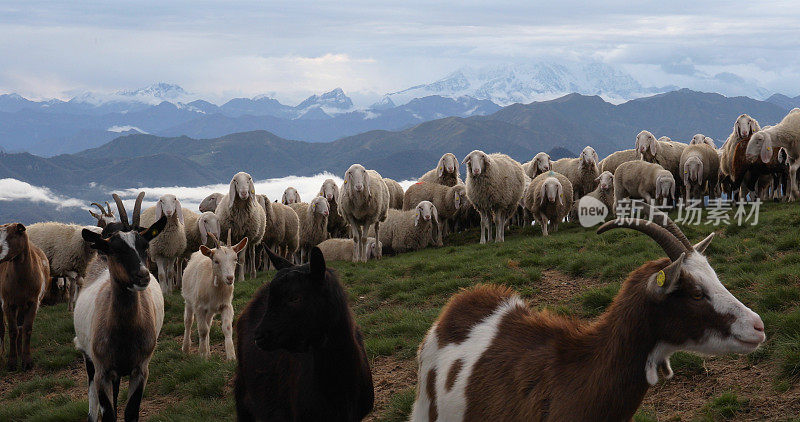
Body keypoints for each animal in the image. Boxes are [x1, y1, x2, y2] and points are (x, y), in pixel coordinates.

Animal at [0, 223, 49, 370]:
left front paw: (27, 361)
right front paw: (12, 362)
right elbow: (12, 330)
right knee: (3, 328)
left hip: (22, 305)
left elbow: (26, 329)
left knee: (20, 327)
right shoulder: (7, 303)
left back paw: (20, 351)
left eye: (12, 235)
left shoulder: (33, 302)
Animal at [73, 196, 167, 420]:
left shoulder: (141, 370)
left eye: (145, 246)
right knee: (93, 404)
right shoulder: (102, 372)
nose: (143, 275)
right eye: (115, 249)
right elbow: (108, 414)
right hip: (89, 358)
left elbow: (131, 412)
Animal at [182, 232, 247, 362]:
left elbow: (227, 328)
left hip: (210, 310)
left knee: (208, 324)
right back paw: (186, 348)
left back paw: (208, 352)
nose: (230, 278)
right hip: (188, 301)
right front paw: (202, 355)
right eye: (216, 261)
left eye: (235, 259)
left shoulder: (226, 305)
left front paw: (231, 356)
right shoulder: (199, 307)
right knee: (188, 322)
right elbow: (202, 330)